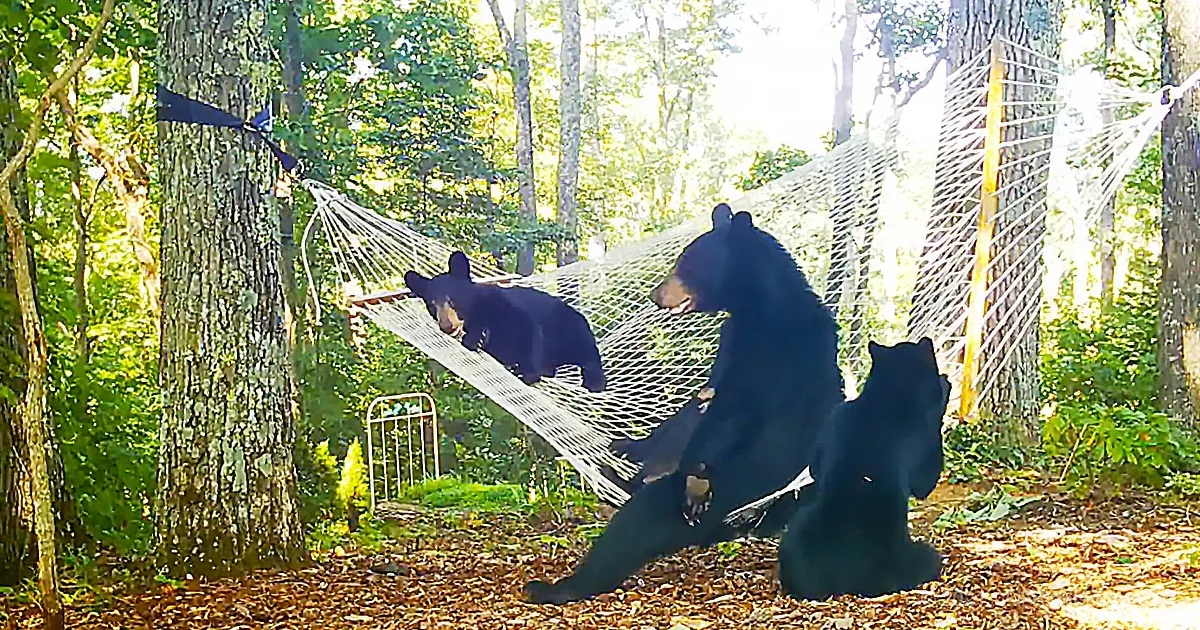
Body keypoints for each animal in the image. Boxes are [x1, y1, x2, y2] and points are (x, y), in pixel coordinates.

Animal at [404, 251, 606, 392]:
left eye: (452, 299)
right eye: (432, 305)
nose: (447, 326)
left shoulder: (504, 306)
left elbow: (528, 330)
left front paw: (529, 372)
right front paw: (474, 339)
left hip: (570, 325)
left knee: (586, 349)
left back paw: (594, 380)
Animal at [524, 203, 844, 604]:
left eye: (686, 264)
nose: (655, 295)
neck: (761, 305)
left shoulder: (777, 351)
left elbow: (738, 408)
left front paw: (695, 479)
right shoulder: (733, 340)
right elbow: (700, 403)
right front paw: (630, 445)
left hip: (724, 492)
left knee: (635, 526)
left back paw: (556, 586)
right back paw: (619, 465)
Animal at [776, 337, 949, 601]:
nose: (944, 376)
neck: (885, 399)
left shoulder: (836, 417)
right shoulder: (925, 442)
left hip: (795, 533)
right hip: (915, 557)